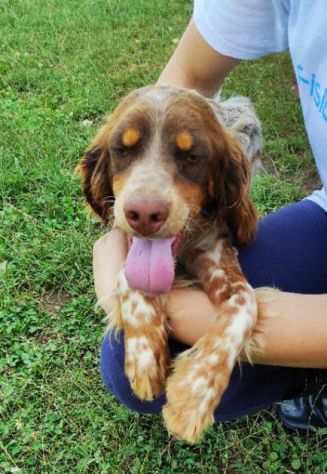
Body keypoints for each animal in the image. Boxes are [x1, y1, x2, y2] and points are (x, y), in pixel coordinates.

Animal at [78, 83, 266, 442]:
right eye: (123, 149)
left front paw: (193, 396)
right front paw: (144, 357)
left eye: (191, 156)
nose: (144, 214)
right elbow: (131, 280)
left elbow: (245, 302)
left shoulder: (215, 248)